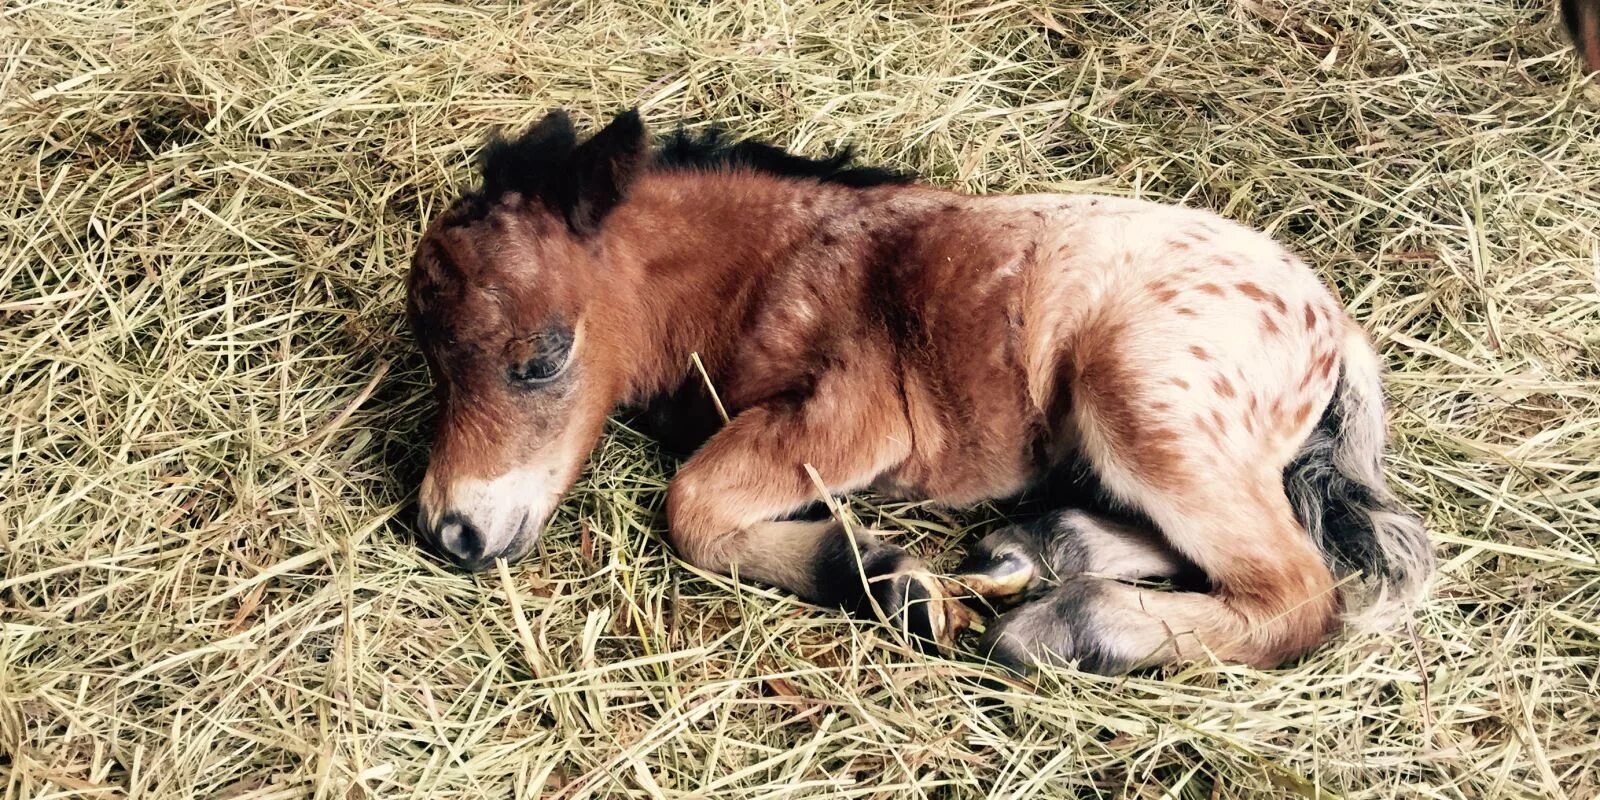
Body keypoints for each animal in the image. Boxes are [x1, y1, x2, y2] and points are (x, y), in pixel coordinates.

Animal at [406, 111, 1433, 675]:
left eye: (541, 360)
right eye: (428, 355)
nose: (451, 532)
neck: (771, 270)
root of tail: (1338, 329)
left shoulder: (856, 419)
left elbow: (691, 502)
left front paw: (884, 576)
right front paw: (896, 579)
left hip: (1141, 394)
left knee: (1297, 591)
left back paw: (1068, 625)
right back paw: (1038, 549)